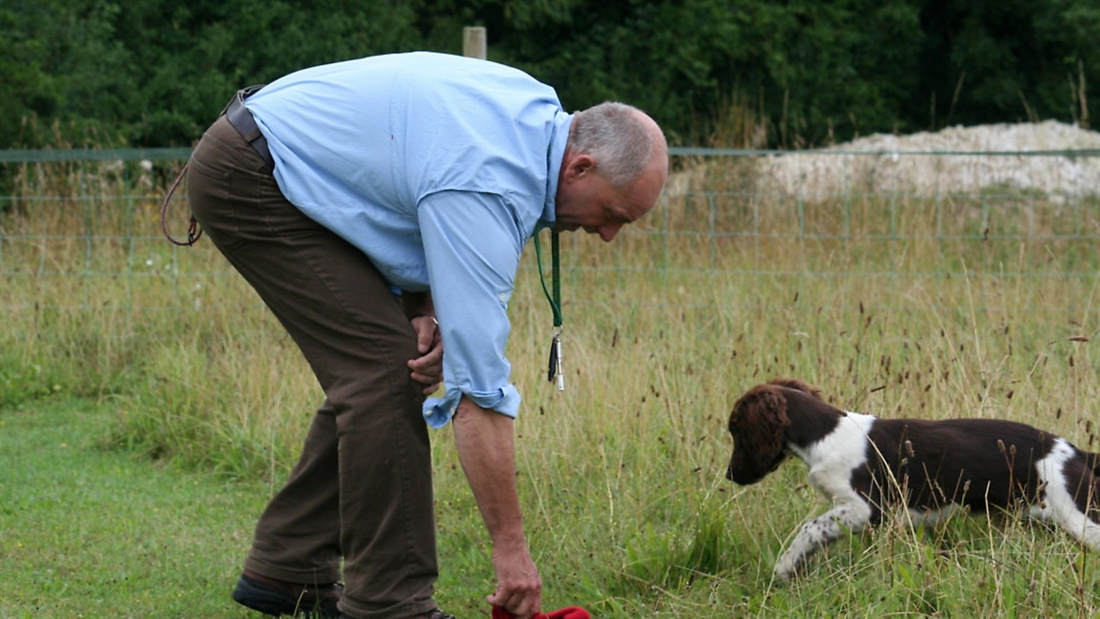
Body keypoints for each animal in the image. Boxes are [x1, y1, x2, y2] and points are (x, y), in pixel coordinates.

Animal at [726, 378, 1095, 580]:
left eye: (736, 431)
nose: (731, 475)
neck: (826, 433)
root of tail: (1078, 453)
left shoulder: (867, 508)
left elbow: (810, 527)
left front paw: (786, 566)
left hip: (1081, 518)